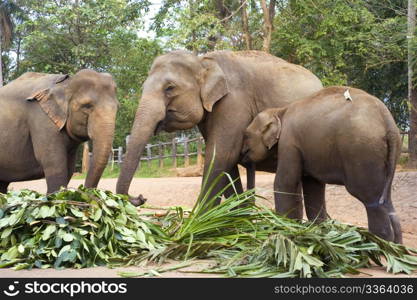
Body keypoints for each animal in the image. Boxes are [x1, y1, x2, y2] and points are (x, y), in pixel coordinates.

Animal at [116, 50, 322, 205]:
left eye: (170, 88)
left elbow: (221, 155)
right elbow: (227, 162)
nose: (141, 197)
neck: (203, 61)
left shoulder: (234, 101)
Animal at [242, 85, 402, 243]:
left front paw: (283, 229)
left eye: (246, 135)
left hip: (363, 152)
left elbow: (285, 183)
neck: (279, 111)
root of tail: (387, 121)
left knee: (370, 199)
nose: (243, 154)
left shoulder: (289, 143)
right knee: (387, 201)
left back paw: (380, 244)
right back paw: (396, 247)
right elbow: (313, 186)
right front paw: (317, 231)